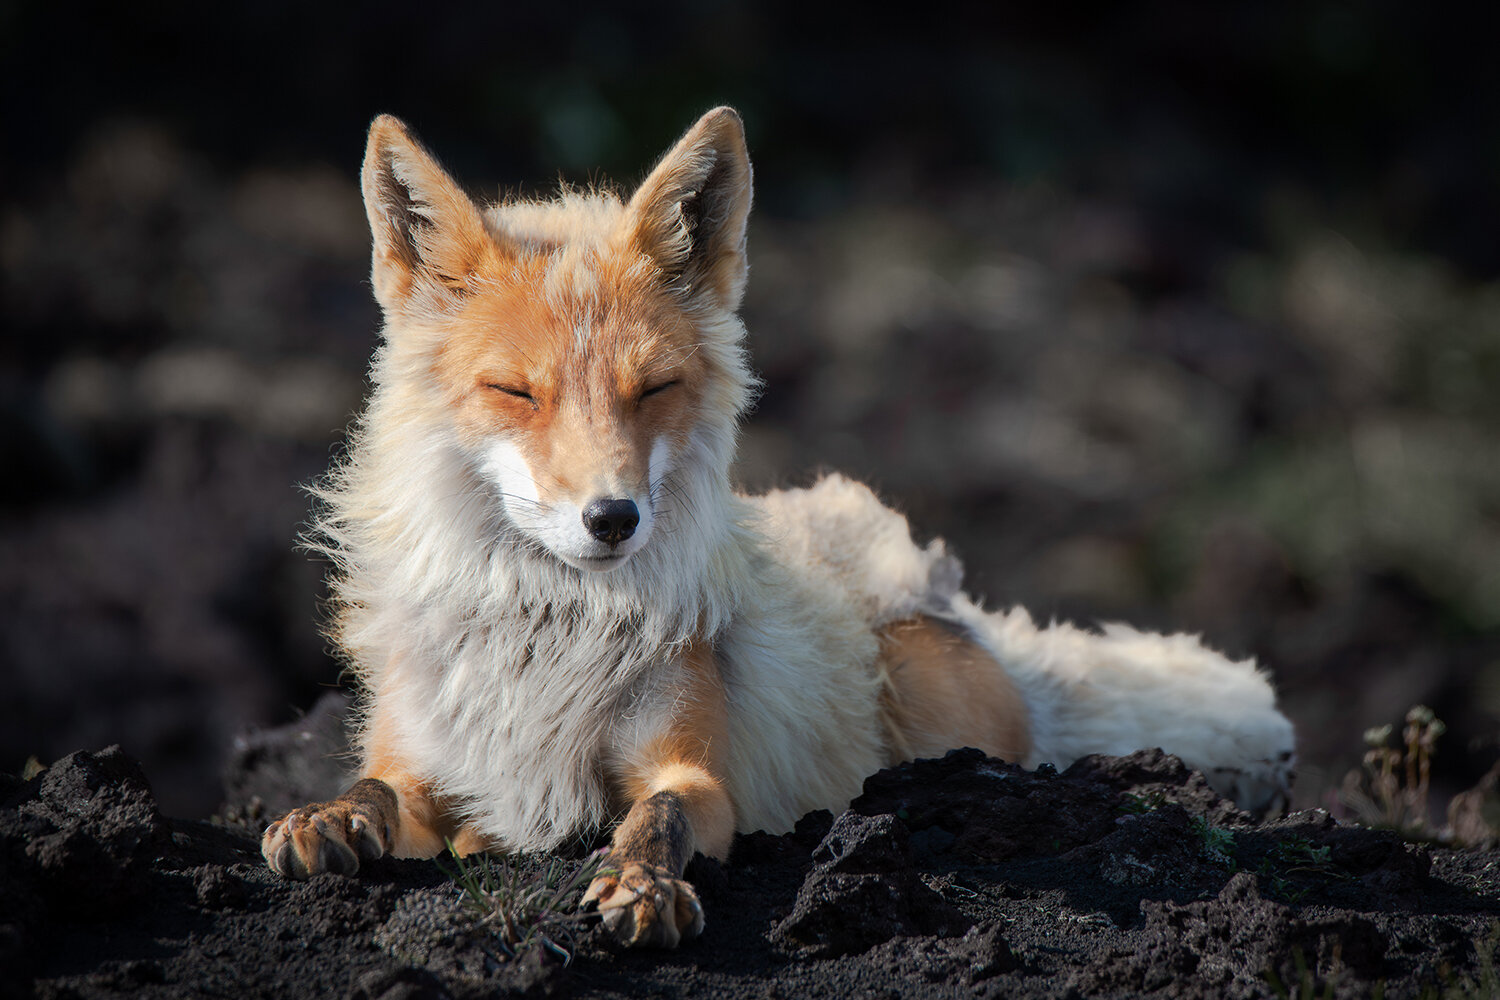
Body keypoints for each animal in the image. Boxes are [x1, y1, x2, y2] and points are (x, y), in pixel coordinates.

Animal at [261, 107, 1296, 948]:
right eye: (515, 392)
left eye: (655, 389)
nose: (613, 518)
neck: (545, 637)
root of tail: (944, 598)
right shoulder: (425, 761)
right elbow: (375, 790)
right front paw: (326, 818)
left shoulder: (694, 769)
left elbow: (659, 821)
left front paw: (639, 885)